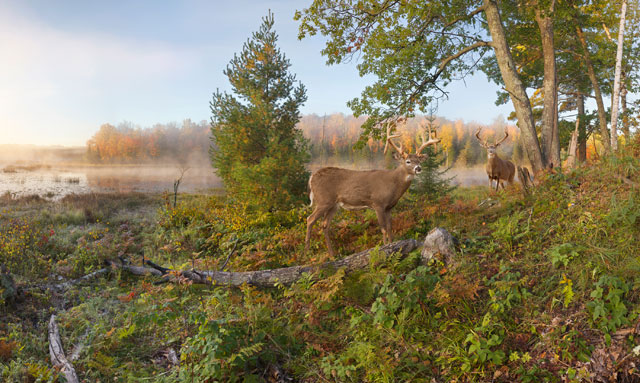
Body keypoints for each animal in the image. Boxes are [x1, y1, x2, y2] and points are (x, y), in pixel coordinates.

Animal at [304, 121, 440, 256]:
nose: (418, 168)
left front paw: (392, 246)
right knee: (310, 219)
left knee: (325, 225)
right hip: (323, 200)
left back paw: (332, 255)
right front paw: (385, 251)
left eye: (419, 160)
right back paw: (308, 251)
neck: (393, 185)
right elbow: (383, 229)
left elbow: (390, 228)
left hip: (333, 205)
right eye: (408, 161)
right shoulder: (378, 203)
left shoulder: (389, 207)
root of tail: (311, 177)